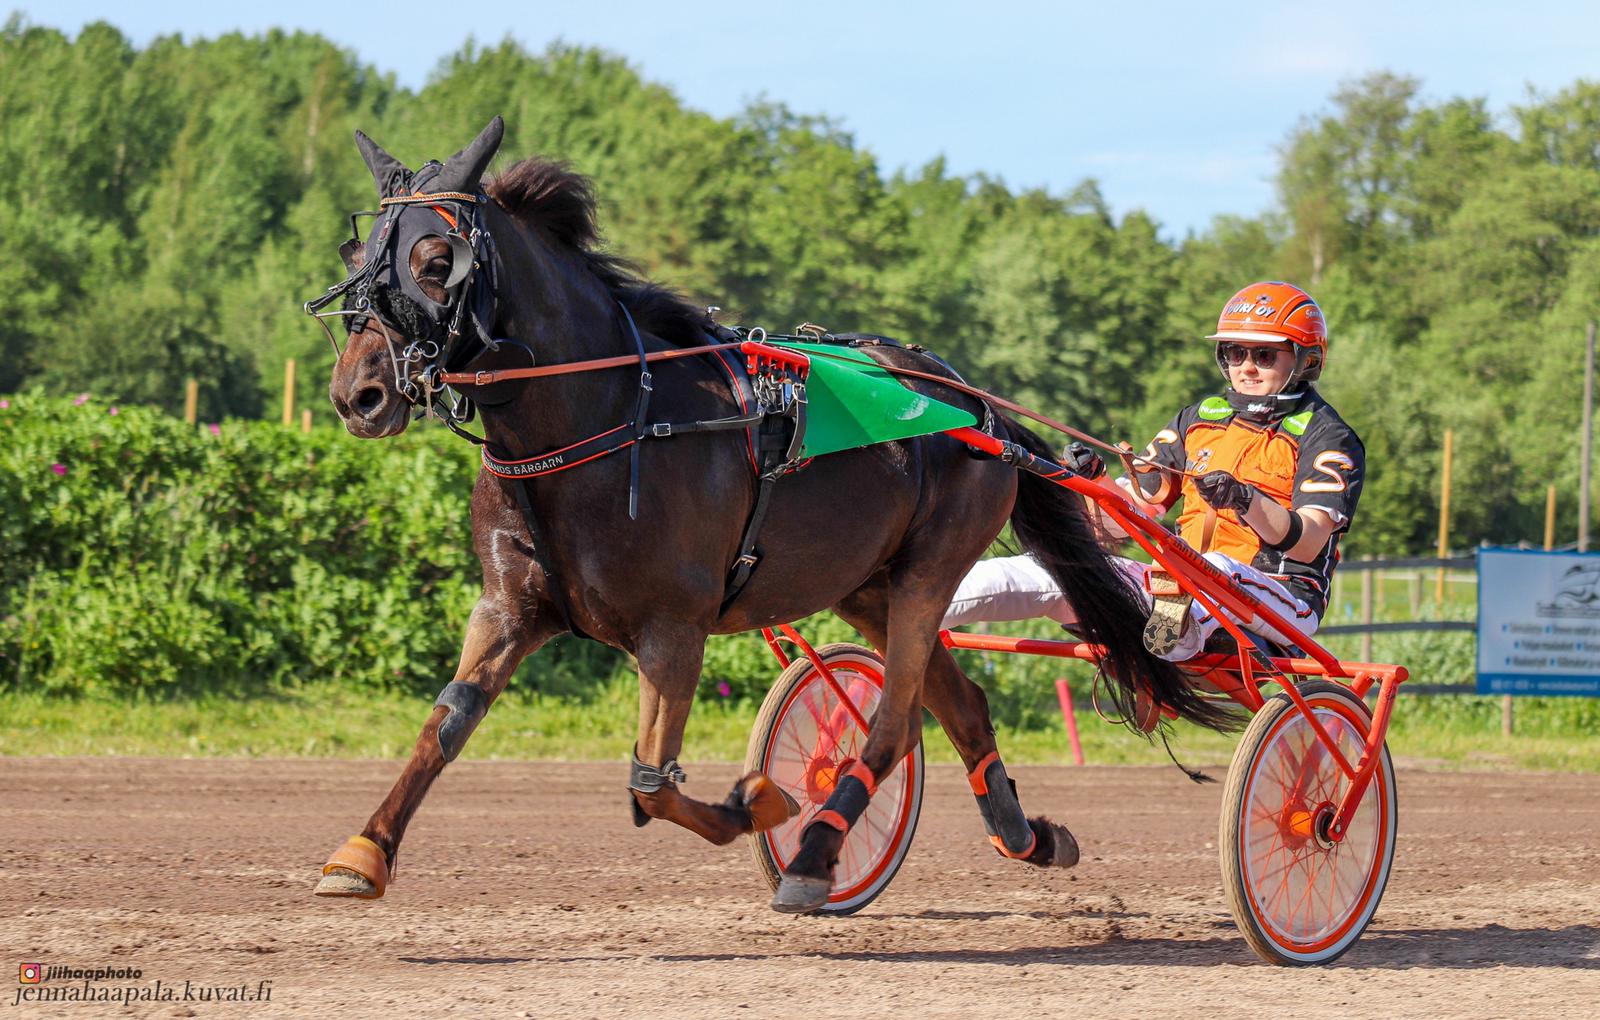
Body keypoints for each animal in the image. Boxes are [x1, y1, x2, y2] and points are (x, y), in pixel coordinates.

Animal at [312, 118, 1228, 908]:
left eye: (436, 258)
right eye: (358, 255)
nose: (359, 394)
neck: (605, 419)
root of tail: (973, 404)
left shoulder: (674, 625)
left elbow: (650, 782)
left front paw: (760, 802)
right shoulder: (510, 608)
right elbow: (446, 724)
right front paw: (362, 852)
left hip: (932, 566)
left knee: (893, 724)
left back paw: (818, 852)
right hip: (866, 584)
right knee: (957, 701)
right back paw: (1023, 834)